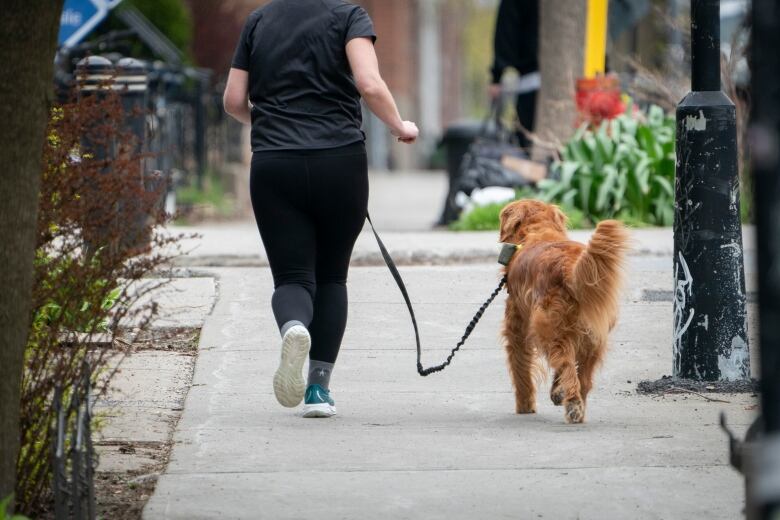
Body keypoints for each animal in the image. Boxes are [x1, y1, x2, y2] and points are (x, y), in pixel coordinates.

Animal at [500, 199, 628, 422]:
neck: (538, 231)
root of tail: (570, 267)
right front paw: (556, 390)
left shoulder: (517, 328)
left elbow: (521, 369)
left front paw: (525, 405)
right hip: (593, 337)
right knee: (581, 377)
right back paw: (574, 403)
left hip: (547, 328)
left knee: (566, 365)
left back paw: (572, 404)